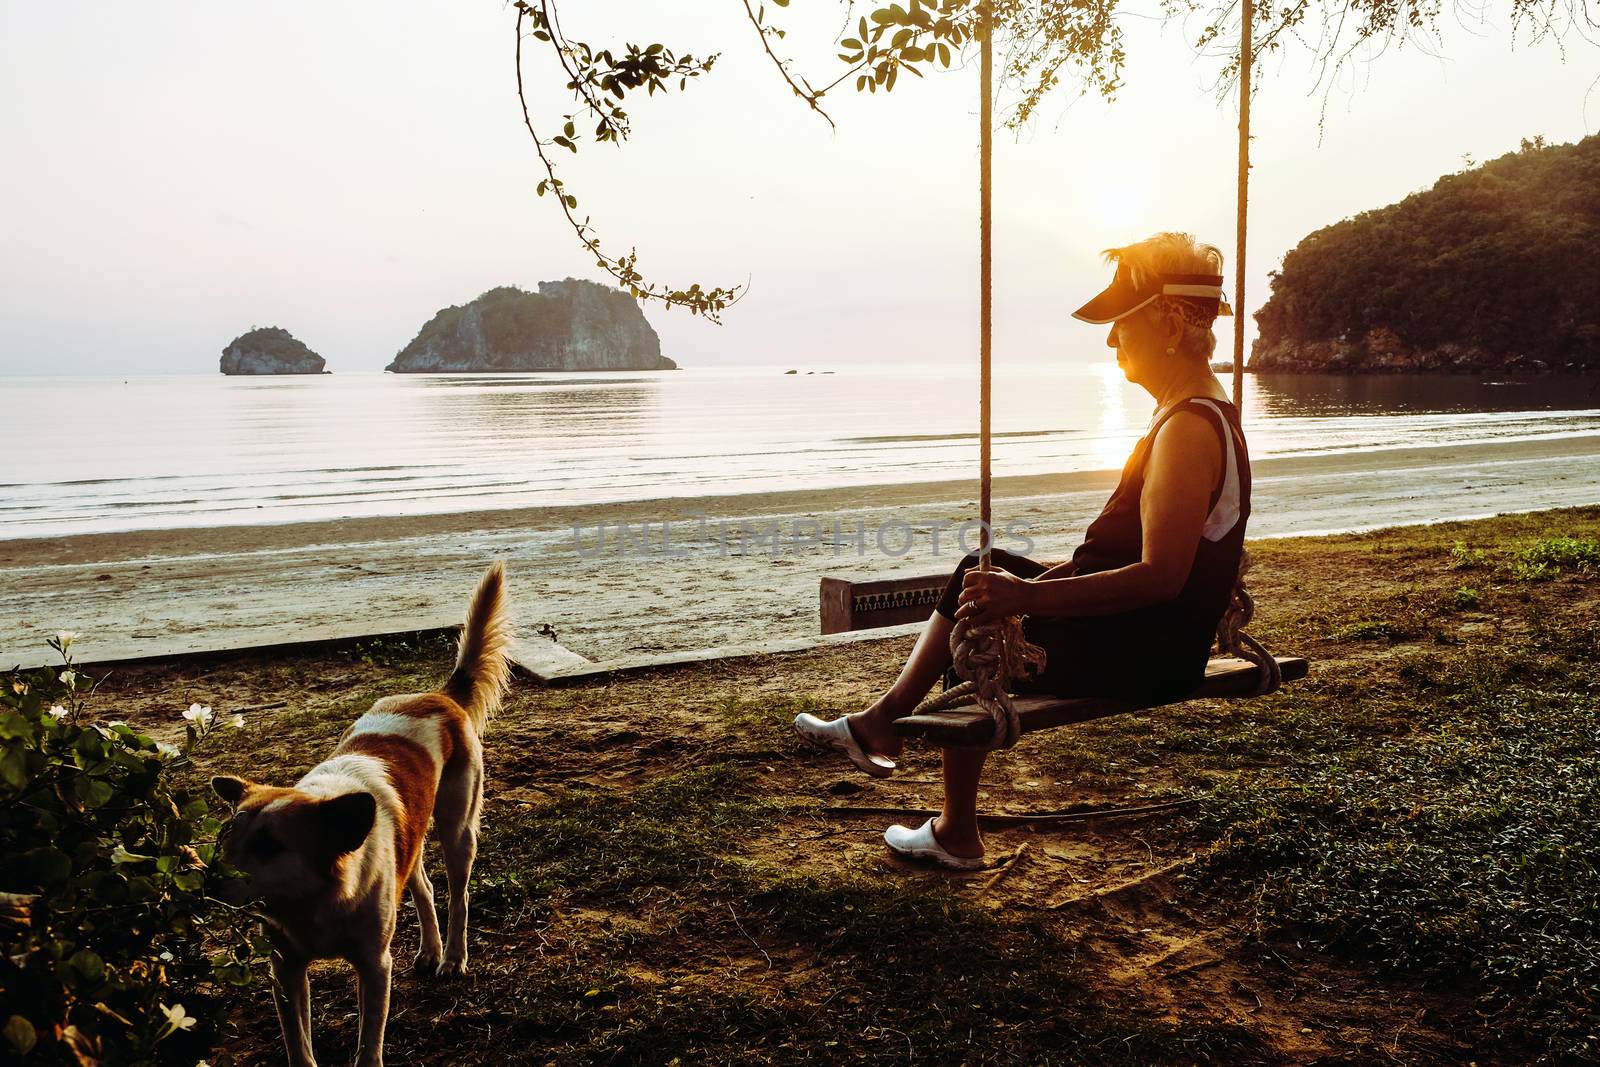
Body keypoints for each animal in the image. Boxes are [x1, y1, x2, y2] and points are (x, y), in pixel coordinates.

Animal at [212, 563, 512, 1062]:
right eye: (224, 837)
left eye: (269, 846)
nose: (203, 879)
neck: (314, 903)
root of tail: (439, 695)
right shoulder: (286, 969)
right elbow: (298, 1044)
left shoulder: (374, 966)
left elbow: (369, 1045)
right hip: (410, 839)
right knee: (425, 887)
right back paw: (432, 950)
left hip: (458, 829)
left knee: (458, 895)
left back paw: (453, 956)